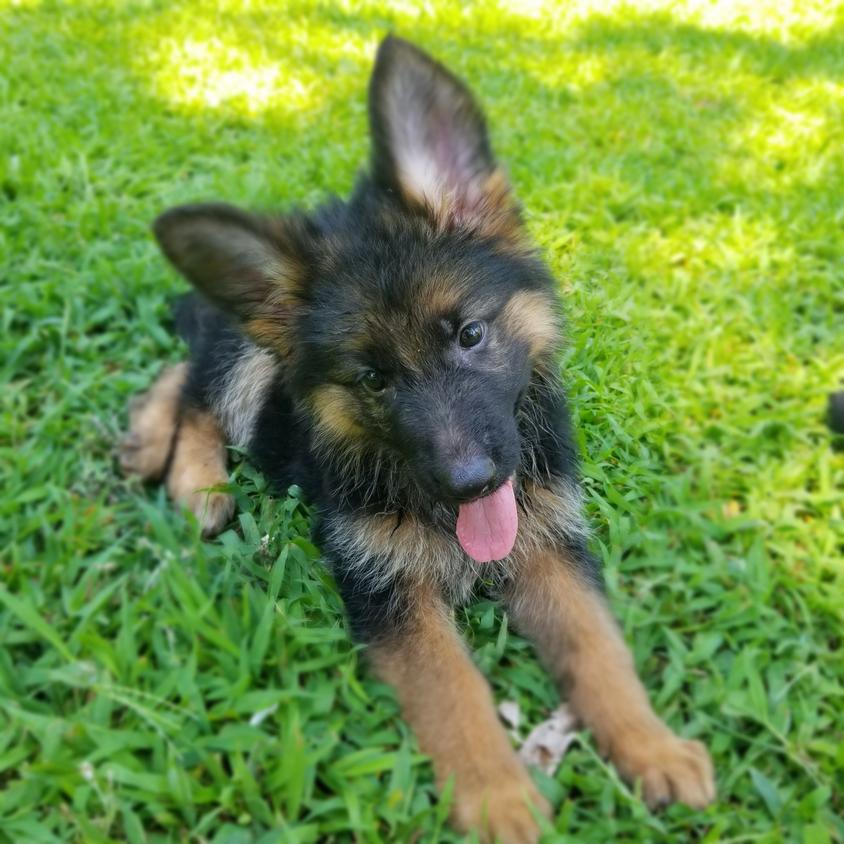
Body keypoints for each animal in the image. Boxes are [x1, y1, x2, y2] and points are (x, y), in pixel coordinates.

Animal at [122, 34, 716, 844]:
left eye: (469, 335)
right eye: (373, 379)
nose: (470, 484)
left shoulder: (550, 543)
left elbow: (599, 649)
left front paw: (651, 747)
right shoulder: (388, 588)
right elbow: (453, 689)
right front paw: (500, 800)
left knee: (183, 363)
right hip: (253, 360)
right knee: (197, 385)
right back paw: (192, 478)